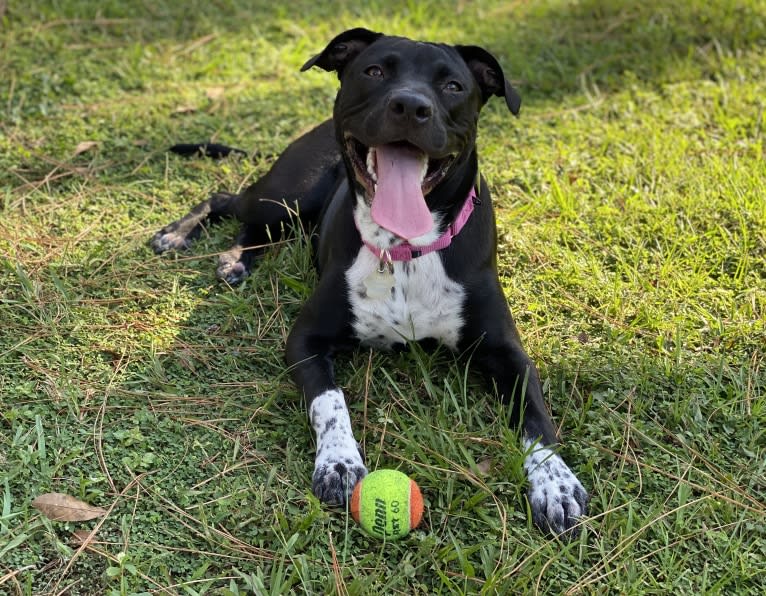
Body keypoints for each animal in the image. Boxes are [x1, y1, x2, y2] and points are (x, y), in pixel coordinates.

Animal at [153, 26, 592, 536]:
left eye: (453, 86)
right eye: (375, 70)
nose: (410, 106)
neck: (402, 249)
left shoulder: (508, 354)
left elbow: (536, 419)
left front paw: (555, 483)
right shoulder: (305, 339)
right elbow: (330, 401)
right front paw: (339, 463)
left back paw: (236, 259)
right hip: (285, 195)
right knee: (224, 198)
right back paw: (180, 234)